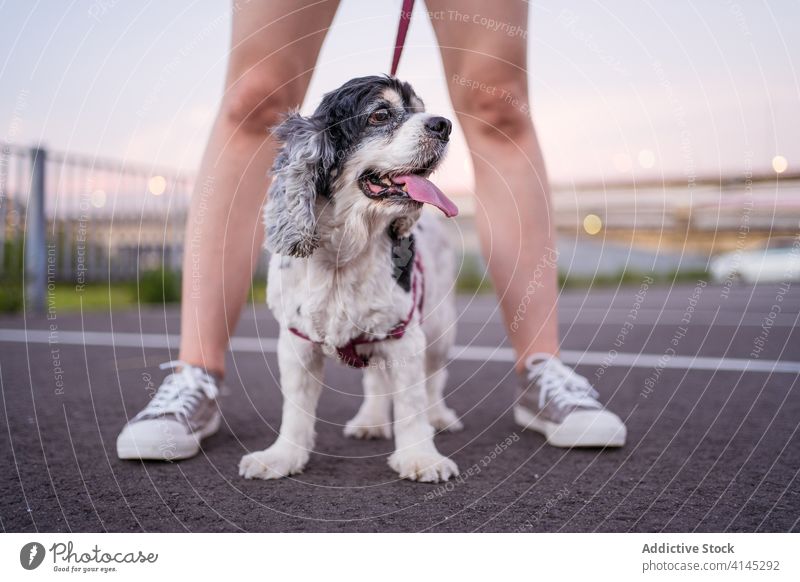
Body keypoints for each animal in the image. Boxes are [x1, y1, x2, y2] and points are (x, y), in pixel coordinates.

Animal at [238, 75, 462, 484]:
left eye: (420, 110)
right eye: (380, 115)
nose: (444, 125)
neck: (344, 253)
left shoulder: (405, 335)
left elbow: (412, 405)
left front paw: (422, 458)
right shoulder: (296, 342)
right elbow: (295, 409)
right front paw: (281, 457)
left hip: (440, 327)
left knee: (435, 377)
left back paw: (440, 416)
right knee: (375, 380)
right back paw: (370, 422)